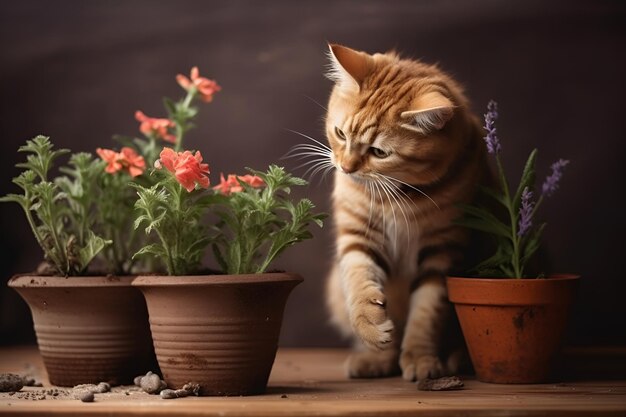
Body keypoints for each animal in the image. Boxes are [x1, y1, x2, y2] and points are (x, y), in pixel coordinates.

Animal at [322, 44, 492, 380]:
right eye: (340, 133)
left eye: (379, 152)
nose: (345, 168)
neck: (397, 197)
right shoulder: (358, 236)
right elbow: (360, 282)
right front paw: (372, 332)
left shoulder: (442, 251)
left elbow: (426, 312)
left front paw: (420, 359)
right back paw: (376, 359)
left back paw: (456, 358)